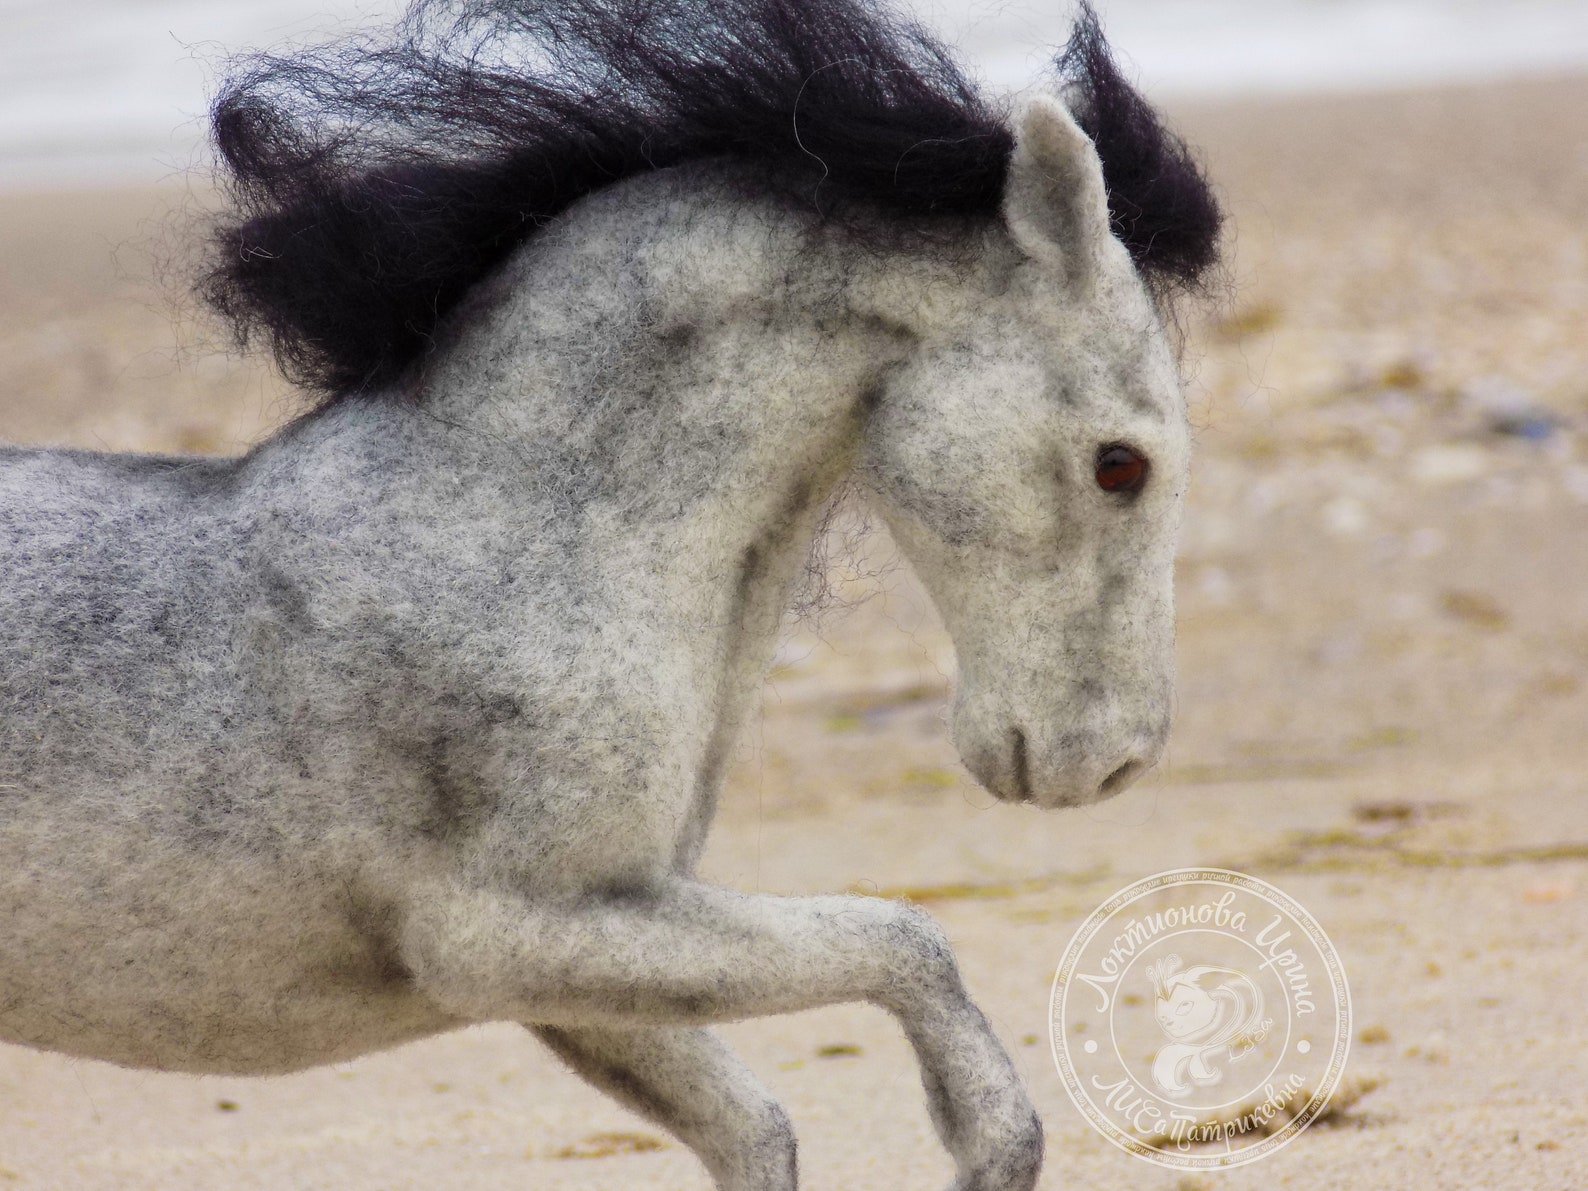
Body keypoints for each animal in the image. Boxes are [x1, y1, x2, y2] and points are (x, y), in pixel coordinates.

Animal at [0, 1, 1219, 1187]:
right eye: (1121, 464)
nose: (1106, 763)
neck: (511, 529)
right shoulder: (511, 935)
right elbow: (907, 943)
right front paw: (984, 1142)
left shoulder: (595, 956)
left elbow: (760, 1129)